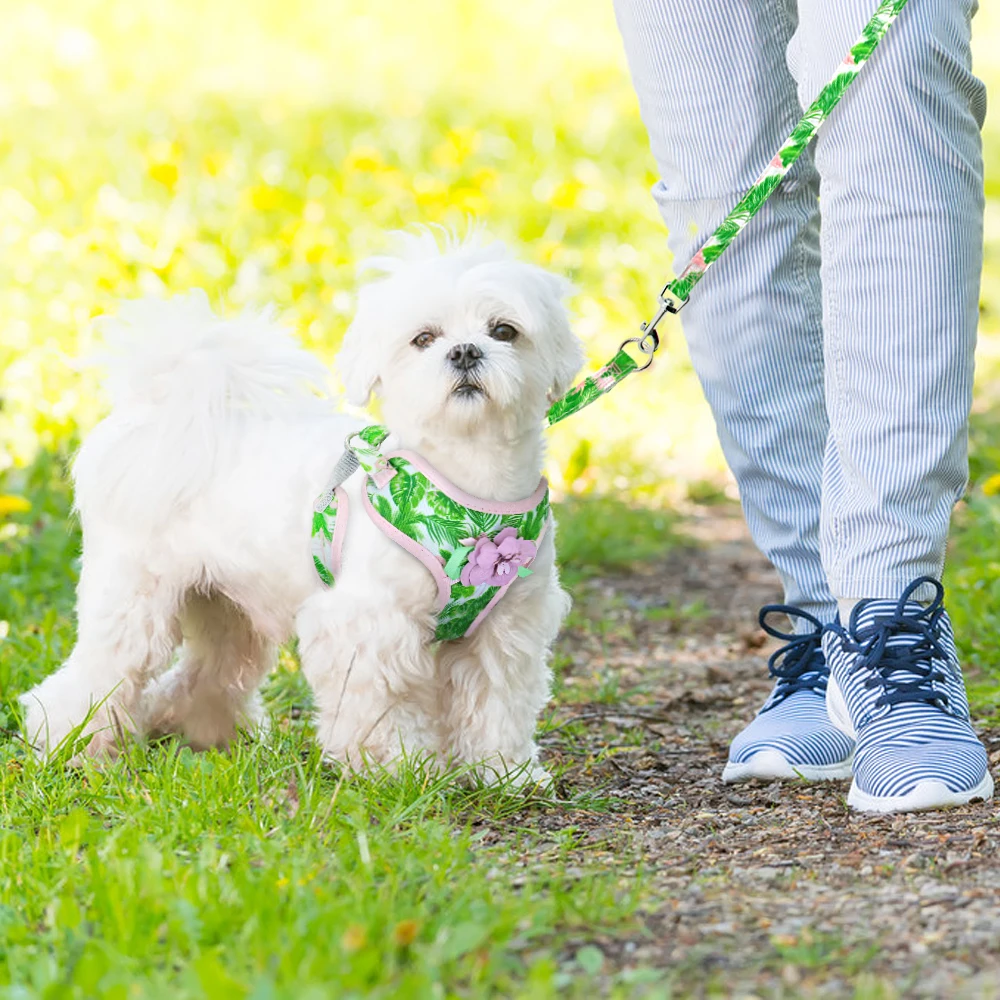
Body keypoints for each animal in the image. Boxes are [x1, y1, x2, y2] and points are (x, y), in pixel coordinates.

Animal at [21, 232, 584, 780]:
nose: (465, 351)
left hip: (227, 607)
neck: (471, 487)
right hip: (133, 598)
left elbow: (498, 704)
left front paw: (505, 772)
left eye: (504, 330)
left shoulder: (509, 625)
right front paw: (394, 767)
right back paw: (68, 745)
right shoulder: (368, 623)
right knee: (99, 673)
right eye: (424, 338)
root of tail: (165, 415)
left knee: (207, 672)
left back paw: (196, 731)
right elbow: (379, 704)